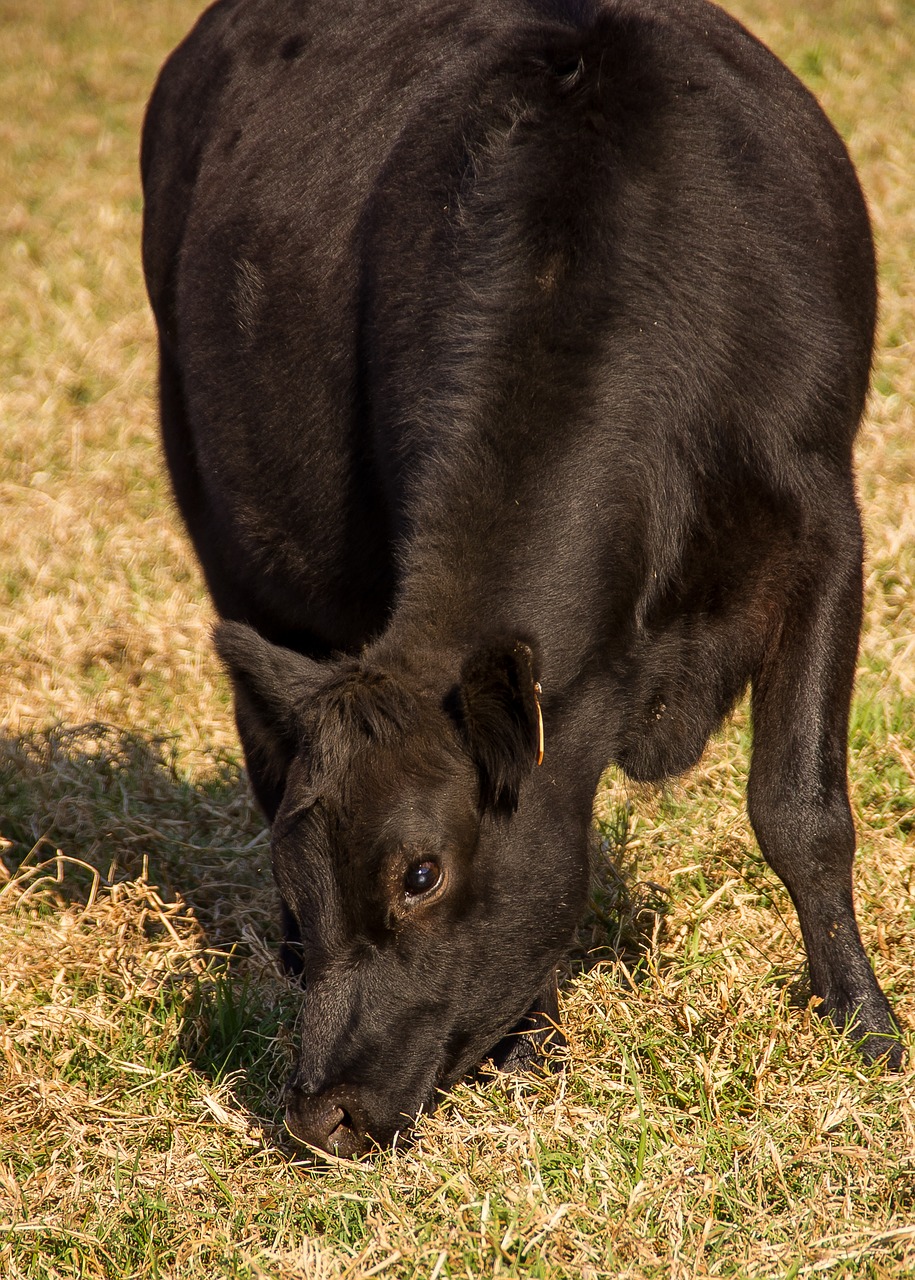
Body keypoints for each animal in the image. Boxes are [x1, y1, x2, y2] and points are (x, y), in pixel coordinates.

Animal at [141, 0, 900, 1157]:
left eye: (421, 873)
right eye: (296, 874)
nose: (320, 1111)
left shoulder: (824, 520)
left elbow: (801, 811)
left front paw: (865, 1025)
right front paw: (531, 1046)